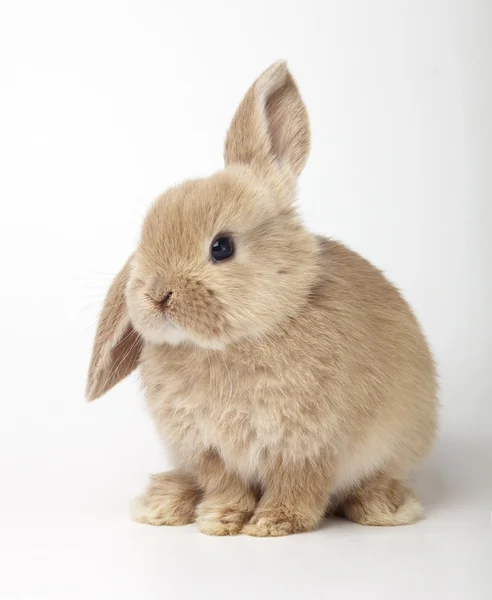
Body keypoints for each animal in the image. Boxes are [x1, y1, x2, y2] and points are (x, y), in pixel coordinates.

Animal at [85, 61, 438, 536]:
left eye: (222, 247)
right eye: (144, 242)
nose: (157, 295)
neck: (231, 344)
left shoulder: (308, 444)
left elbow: (299, 485)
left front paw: (272, 523)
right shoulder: (208, 449)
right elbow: (225, 485)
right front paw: (219, 519)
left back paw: (384, 509)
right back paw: (163, 503)